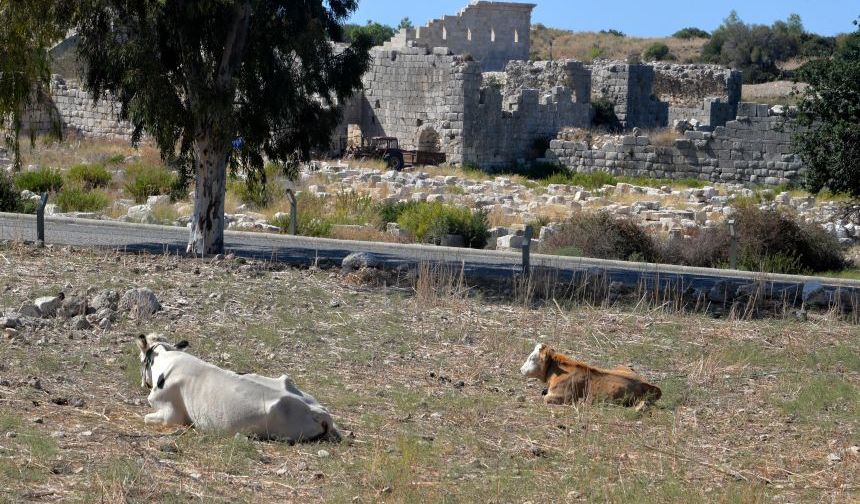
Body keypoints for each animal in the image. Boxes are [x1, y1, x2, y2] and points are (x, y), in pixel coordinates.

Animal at [137, 332, 340, 442]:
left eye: (141, 360)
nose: (142, 383)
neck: (168, 361)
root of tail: (319, 412)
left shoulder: (171, 416)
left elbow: (147, 418)